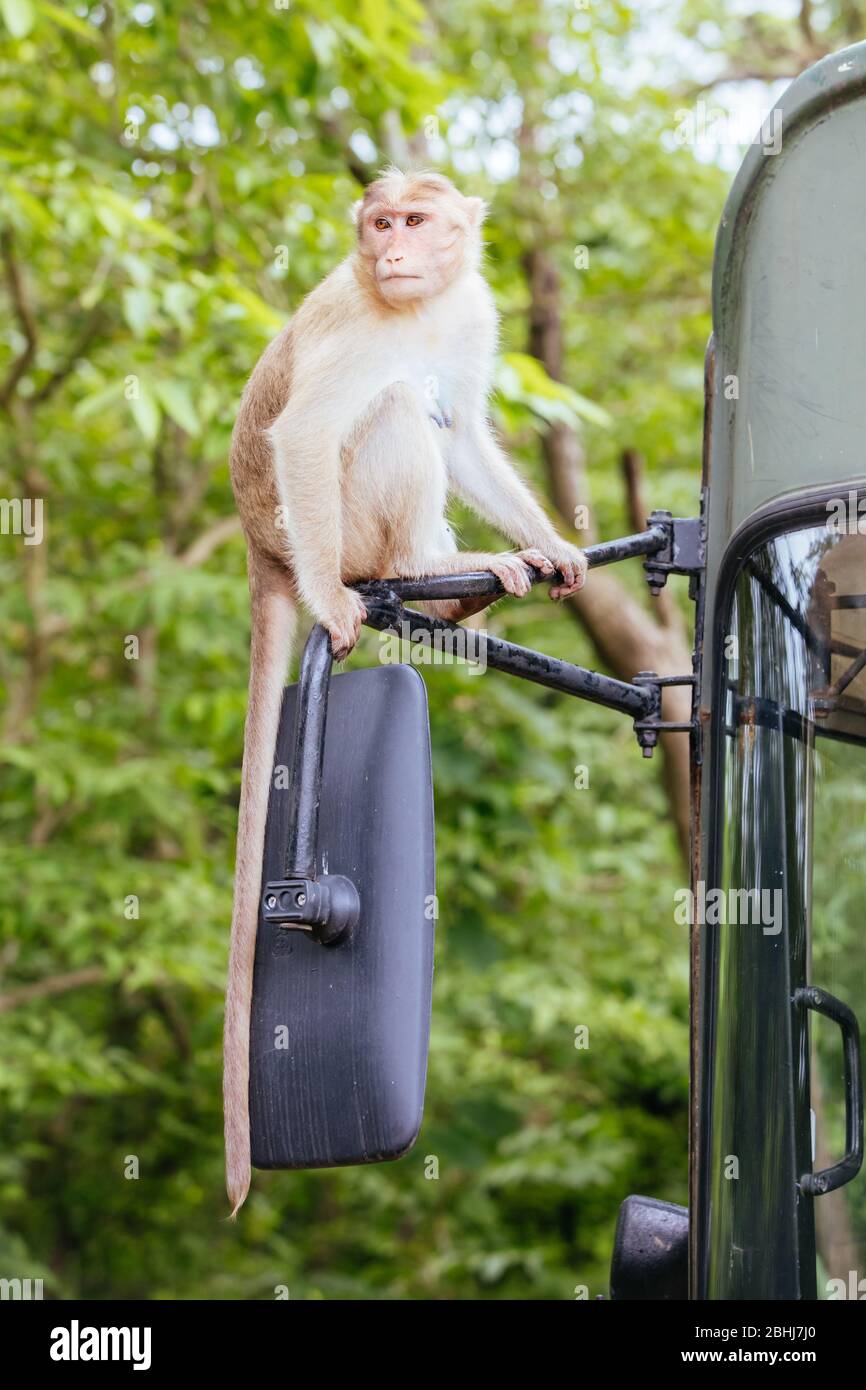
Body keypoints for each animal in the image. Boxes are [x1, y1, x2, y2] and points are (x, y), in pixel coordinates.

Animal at [223, 165, 589, 1217]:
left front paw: (550, 541)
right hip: (336, 526)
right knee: (385, 410)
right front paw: (332, 603)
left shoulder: (470, 310)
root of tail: (262, 548)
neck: (416, 305)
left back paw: (462, 585)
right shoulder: (354, 320)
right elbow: (310, 429)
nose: (390, 250)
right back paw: (424, 568)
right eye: (380, 221)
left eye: (417, 221)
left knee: (421, 412)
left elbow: (463, 429)